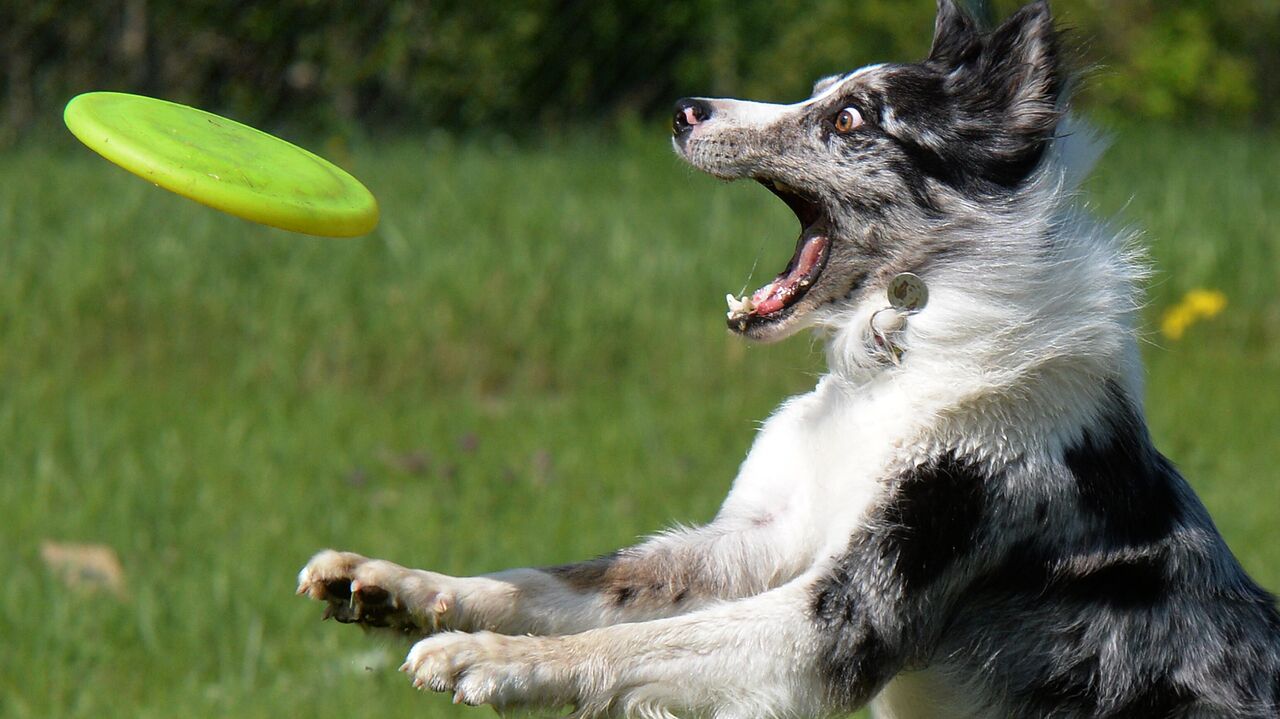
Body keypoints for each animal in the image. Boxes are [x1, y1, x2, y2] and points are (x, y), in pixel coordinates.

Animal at [294, 2, 1274, 711]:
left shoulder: (839, 615)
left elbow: (627, 640)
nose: (684, 107)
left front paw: (486, 657)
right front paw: (393, 585)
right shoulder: (753, 540)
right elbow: (566, 580)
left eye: (849, 118)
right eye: (821, 91)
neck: (897, 362)